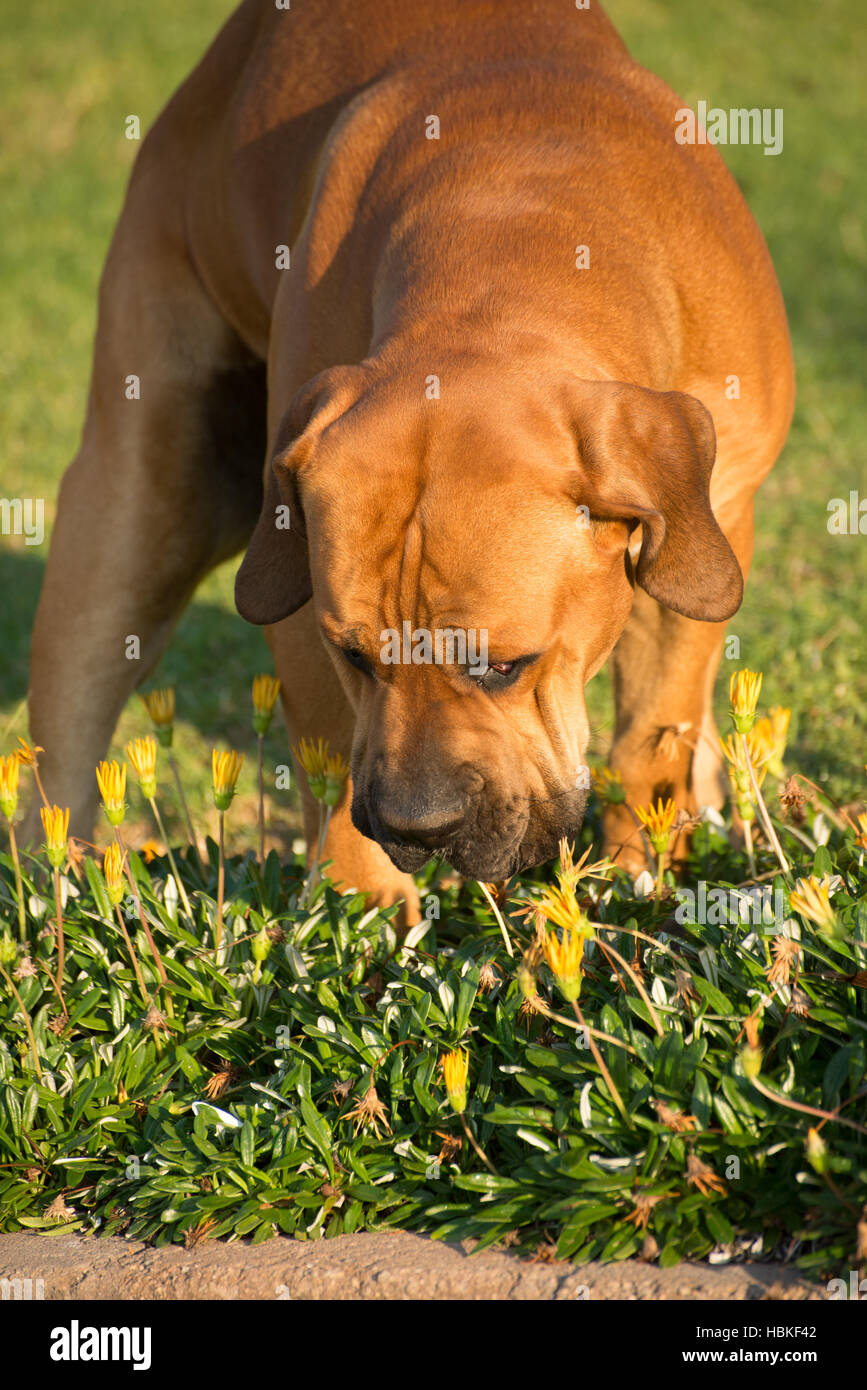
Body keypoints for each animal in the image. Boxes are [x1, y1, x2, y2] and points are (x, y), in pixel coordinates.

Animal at [23, 2, 794, 922]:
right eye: (356, 657)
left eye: (504, 665)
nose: (418, 828)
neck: (515, 238)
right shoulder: (296, 602)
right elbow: (329, 759)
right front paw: (358, 918)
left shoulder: (706, 530)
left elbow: (653, 736)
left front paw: (642, 877)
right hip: (140, 499)